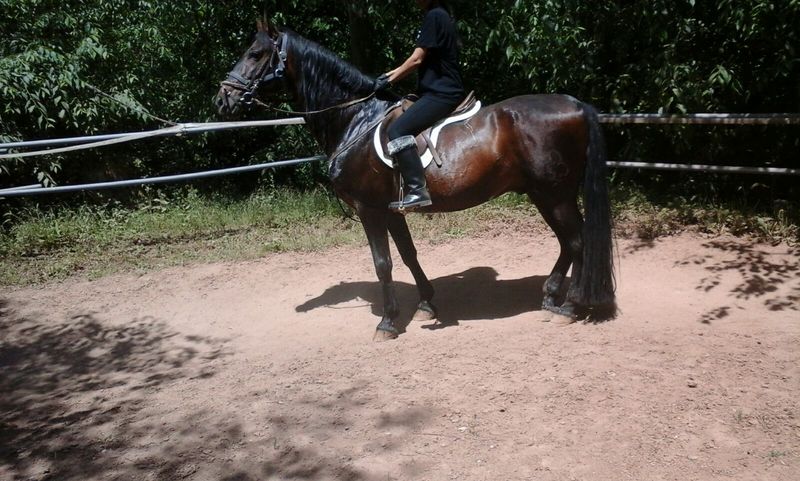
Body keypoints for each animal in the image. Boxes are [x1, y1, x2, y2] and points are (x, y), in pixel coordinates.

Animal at [215, 20, 616, 340]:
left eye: (255, 54)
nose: (222, 99)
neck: (355, 120)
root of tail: (576, 104)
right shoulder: (392, 209)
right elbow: (408, 254)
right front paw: (426, 304)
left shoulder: (369, 209)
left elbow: (383, 264)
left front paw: (388, 323)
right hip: (544, 194)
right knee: (569, 243)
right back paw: (553, 296)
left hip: (554, 194)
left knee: (577, 241)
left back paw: (570, 306)